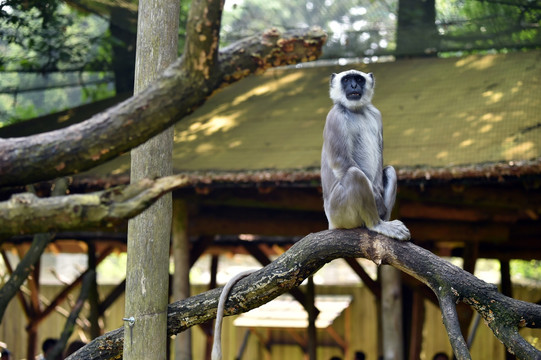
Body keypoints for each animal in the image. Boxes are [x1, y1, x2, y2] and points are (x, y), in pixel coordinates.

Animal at [320, 69, 410, 240]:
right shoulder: (335, 117)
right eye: (346, 80)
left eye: (359, 80)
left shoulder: (376, 114)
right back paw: (376, 224)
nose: (354, 86)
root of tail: (331, 222)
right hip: (339, 212)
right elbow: (340, 161)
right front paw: (377, 200)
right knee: (354, 174)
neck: (356, 111)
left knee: (390, 171)